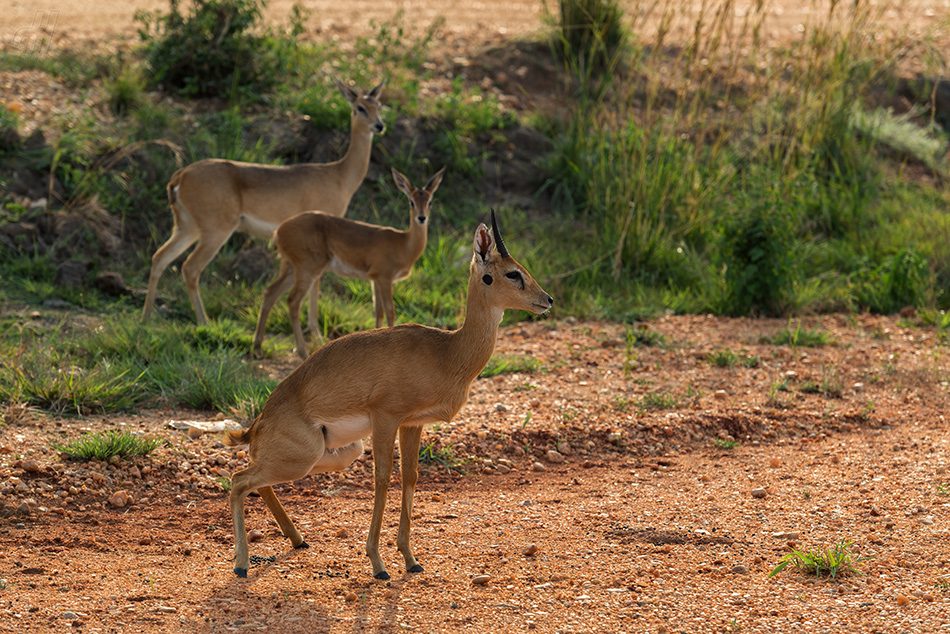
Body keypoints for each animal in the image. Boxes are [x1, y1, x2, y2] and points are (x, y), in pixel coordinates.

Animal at [142, 78, 386, 324]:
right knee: (190, 268)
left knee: (159, 257)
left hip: (187, 227)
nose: (379, 125)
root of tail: (180, 175)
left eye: (379, 105)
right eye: (360, 107)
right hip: (216, 230)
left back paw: (146, 319)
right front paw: (314, 329)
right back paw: (204, 322)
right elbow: (316, 283)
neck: (339, 176)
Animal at [228, 211, 556, 576]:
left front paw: (410, 559)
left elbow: (410, 478)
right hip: (306, 455)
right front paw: (378, 563)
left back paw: (298, 540)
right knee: (238, 480)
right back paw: (241, 563)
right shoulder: (386, 418)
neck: (447, 352)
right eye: (512, 273)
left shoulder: (413, 424)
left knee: (255, 481)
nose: (547, 300)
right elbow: (383, 479)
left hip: (336, 454)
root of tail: (257, 424)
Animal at [253, 165, 446, 358]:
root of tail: (278, 232)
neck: (404, 244)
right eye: (411, 201)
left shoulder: (374, 279)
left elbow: (378, 311)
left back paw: (258, 348)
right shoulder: (384, 277)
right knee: (293, 301)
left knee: (270, 293)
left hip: (292, 269)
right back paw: (302, 352)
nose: (422, 218)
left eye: (430, 201)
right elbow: (390, 311)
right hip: (308, 270)